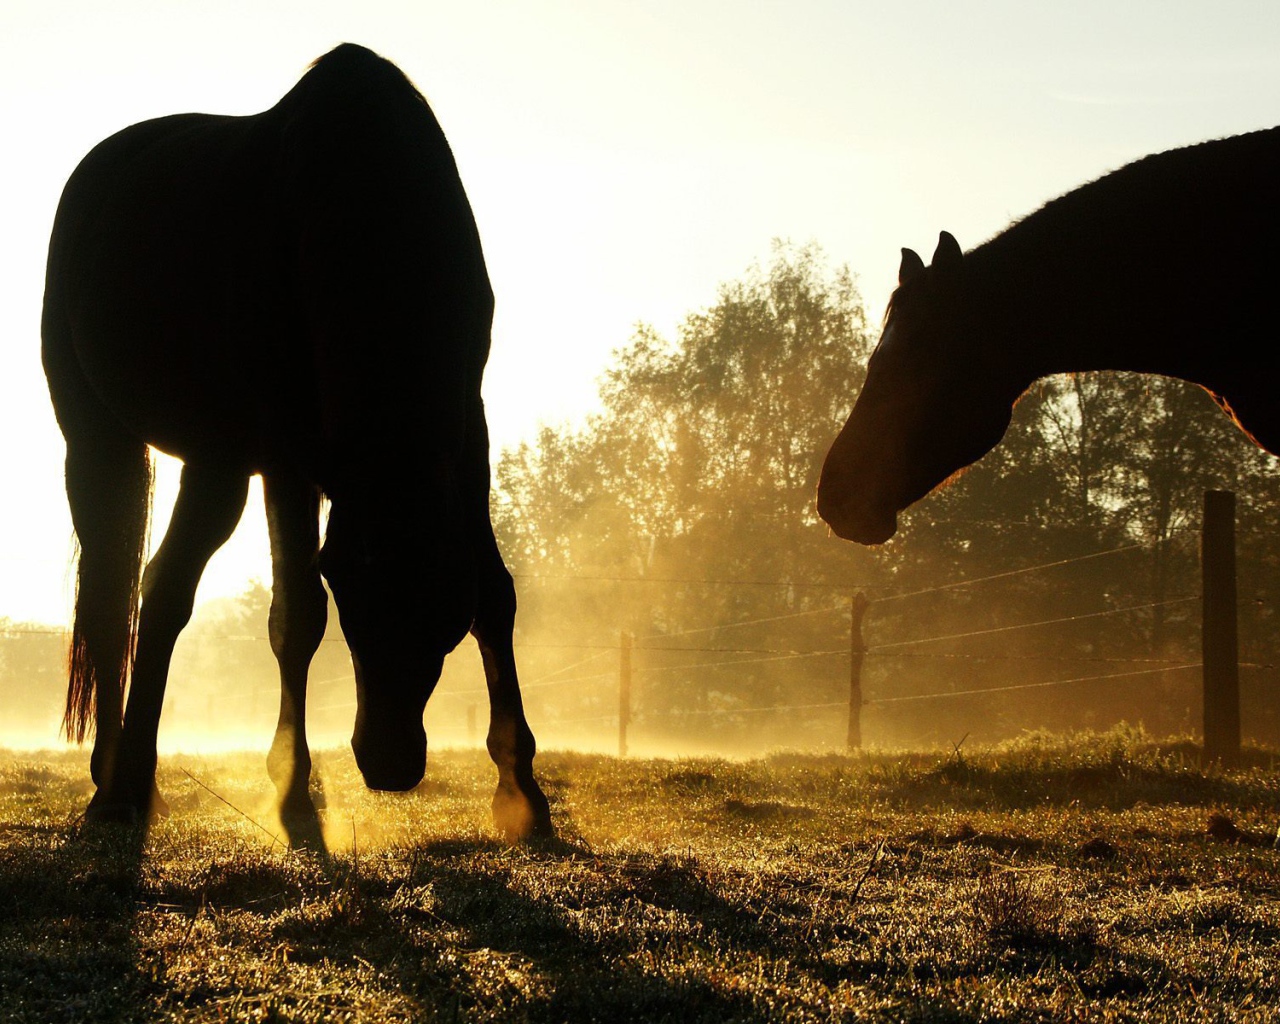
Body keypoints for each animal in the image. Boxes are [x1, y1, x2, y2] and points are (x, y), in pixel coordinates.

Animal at [41, 43, 552, 841]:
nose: (390, 764)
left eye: (442, 608)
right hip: (101, 439)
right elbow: (280, 611)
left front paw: (521, 789)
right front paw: (280, 789)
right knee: (116, 597)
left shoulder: (464, 436)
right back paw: (115, 781)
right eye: (353, 588)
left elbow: (493, 595)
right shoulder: (269, 456)